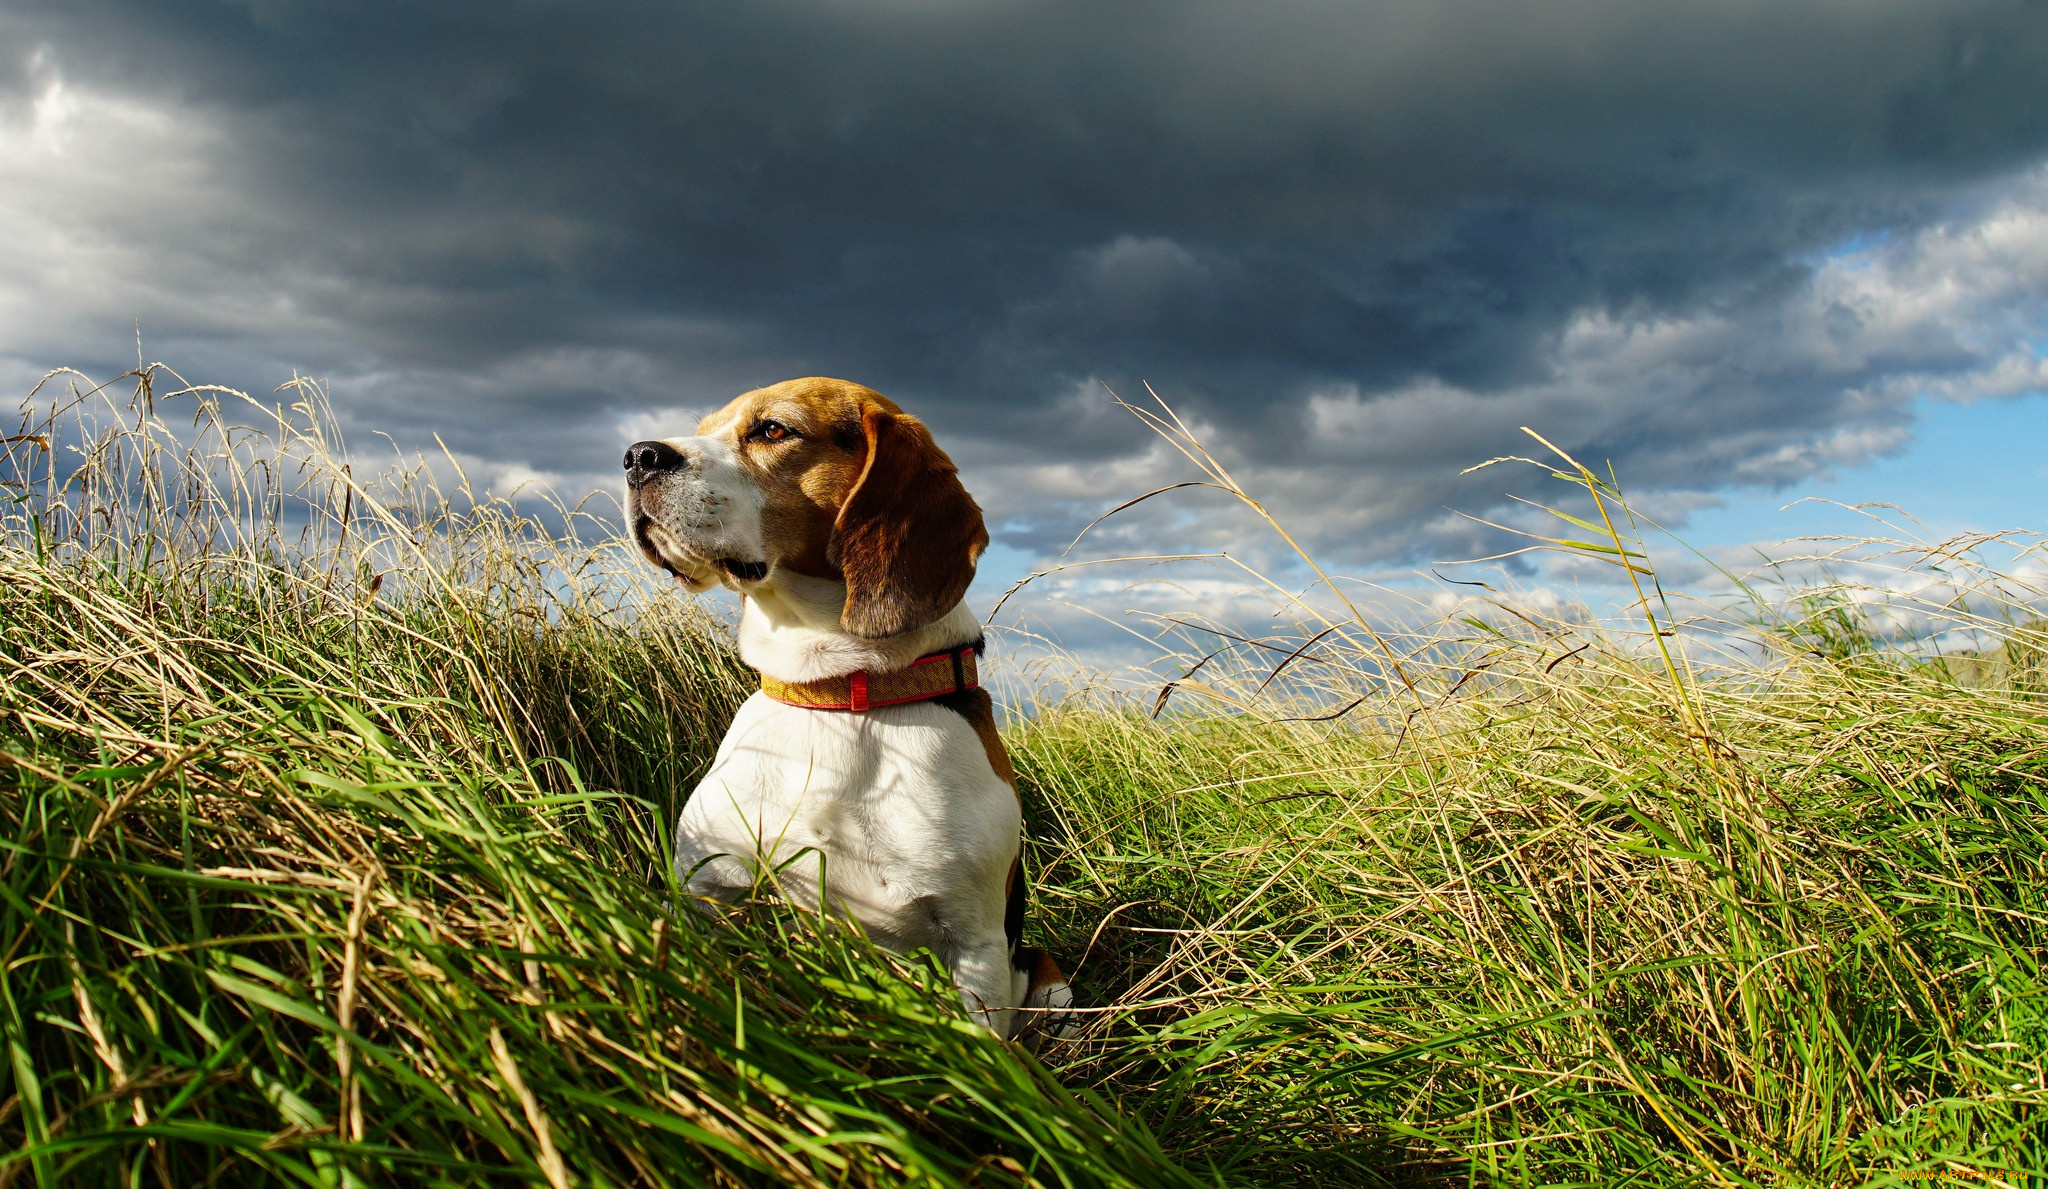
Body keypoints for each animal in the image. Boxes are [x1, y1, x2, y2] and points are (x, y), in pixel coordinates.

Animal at [618, 376, 1073, 1035]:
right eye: (703, 427)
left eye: (773, 430)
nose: (637, 456)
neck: (836, 695)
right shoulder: (707, 888)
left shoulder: (977, 945)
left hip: (1043, 974)